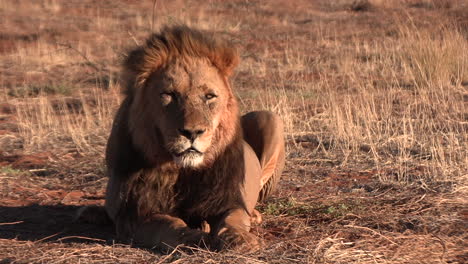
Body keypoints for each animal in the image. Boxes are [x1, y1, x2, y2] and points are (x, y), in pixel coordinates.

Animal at [103, 25, 286, 251]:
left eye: (209, 96)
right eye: (169, 95)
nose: (192, 132)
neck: (184, 171)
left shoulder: (227, 200)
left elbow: (232, 219)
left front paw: (241, 239)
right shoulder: (134, 214)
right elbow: (168, 224)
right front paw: (192, 237)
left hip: (270, 119)